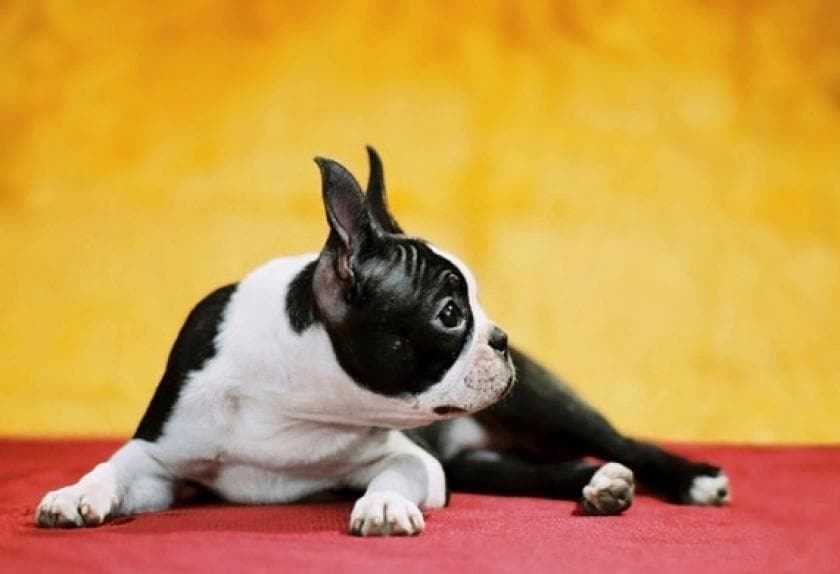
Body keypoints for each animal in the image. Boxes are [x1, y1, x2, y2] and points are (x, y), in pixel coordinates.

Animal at [35, 147, 730, 536]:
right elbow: (113, 468)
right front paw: (74, 494)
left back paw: (687, 479)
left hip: (542, 403)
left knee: (619, 442)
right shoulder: (158, 457)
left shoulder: (414, 460)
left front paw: (385, 508)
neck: (290, 407)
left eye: (474, 306)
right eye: (450, 314)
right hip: (476, 460)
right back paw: (599, 488)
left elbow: (394, 476)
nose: (500, 337)